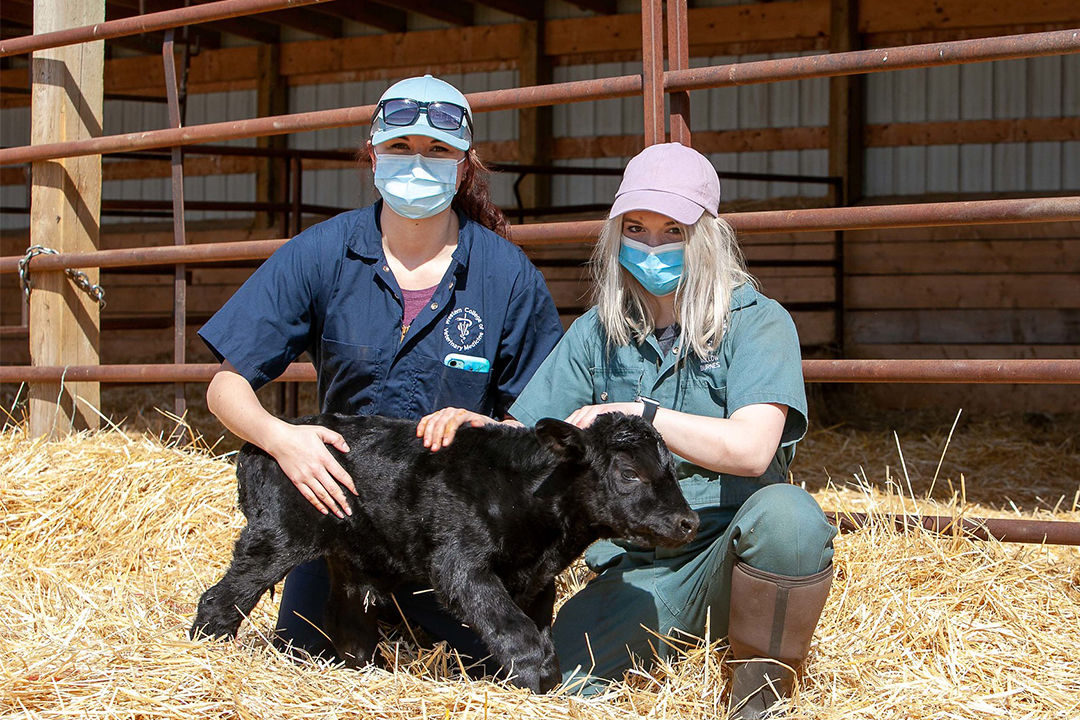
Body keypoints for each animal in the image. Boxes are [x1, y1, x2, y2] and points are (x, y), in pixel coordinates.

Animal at [192, 414, 699, 695]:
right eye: (629, 473)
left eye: (673, 470)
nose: (688, 522)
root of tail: (268, 438)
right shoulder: (460, 566)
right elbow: (518, 633)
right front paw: (534, 683)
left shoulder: (539, 582)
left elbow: (537, 632)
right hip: (278, 534)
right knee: (221, 598)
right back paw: (203, 651)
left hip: (353, 555)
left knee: (348, 621)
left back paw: (365, 671)